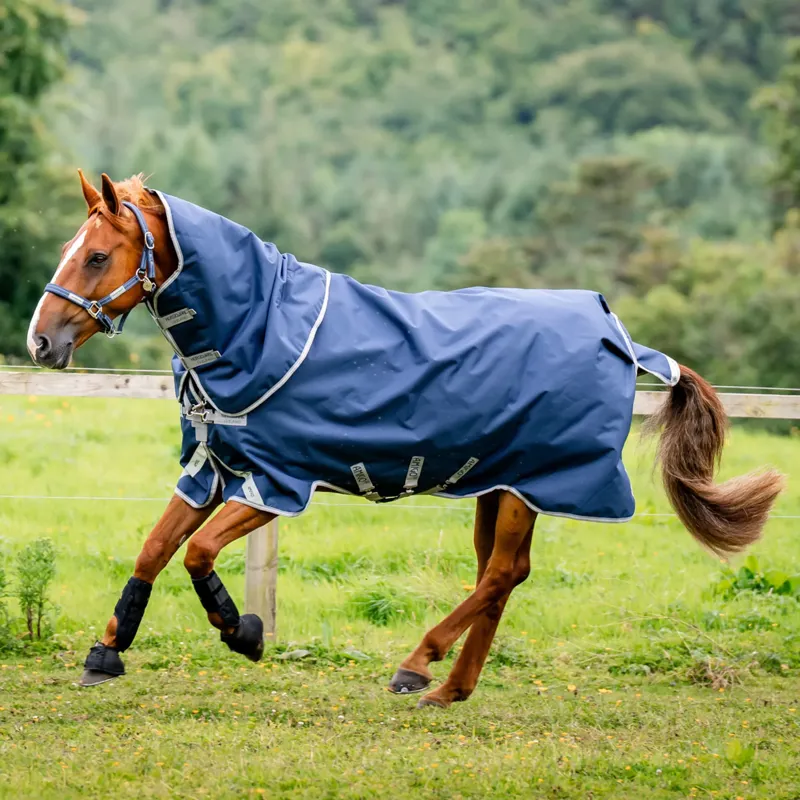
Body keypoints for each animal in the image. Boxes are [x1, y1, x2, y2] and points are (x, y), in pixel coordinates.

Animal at [26, 171, 784, 708]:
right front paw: (106, 654)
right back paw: (451, 689)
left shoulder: (277, 482)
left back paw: (418, 665)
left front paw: (242, 632)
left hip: (530, 484)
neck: (259, 330)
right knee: (503, 575)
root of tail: (619, 335)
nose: (41, 342)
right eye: (68, 250)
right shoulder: (215, 468)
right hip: (500, 482)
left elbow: (198, 553)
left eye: (96, 255)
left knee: (501, 574)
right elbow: (155, 549)